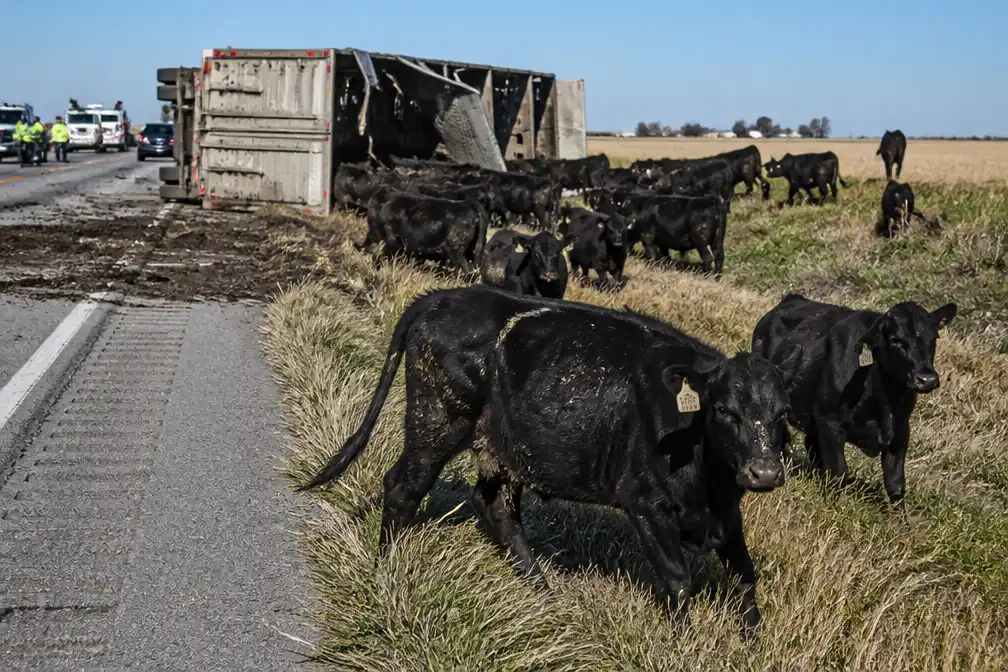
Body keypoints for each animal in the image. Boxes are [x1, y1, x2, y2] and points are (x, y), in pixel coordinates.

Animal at [296, 284, 800, 633]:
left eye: (782, 413)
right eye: (725, 410)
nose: (765, 472)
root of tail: (441, 298)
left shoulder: (727, 513)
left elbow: (745, 576)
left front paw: (753, 640)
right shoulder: (646, 504)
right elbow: (679, 580)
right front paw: (686, 642)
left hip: (500, 448)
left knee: (495, 507)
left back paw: (543, 592)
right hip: (436, 420)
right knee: (402, 487)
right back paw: (388, 568)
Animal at [751, 293, 957, 508]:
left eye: (934, 337)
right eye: (895, 340)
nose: (927, 379)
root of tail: (792, 298)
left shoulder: (901, 431)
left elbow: (895, 484)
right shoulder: (829, 423)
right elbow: (838, 473)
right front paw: (833, 509)